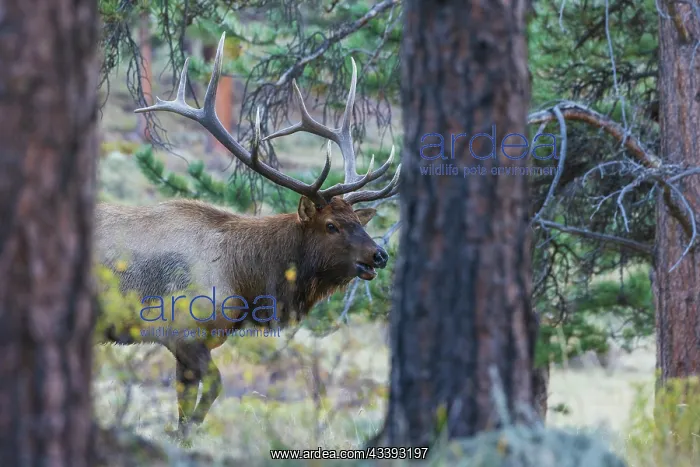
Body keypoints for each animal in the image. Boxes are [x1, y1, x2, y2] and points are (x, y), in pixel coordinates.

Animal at [94, 32, 400, 438]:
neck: (244, 280)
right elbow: (211, 391)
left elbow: (185, 406)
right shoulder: (181, 332)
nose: (379, 255)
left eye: (358, 221)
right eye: (331, 225)